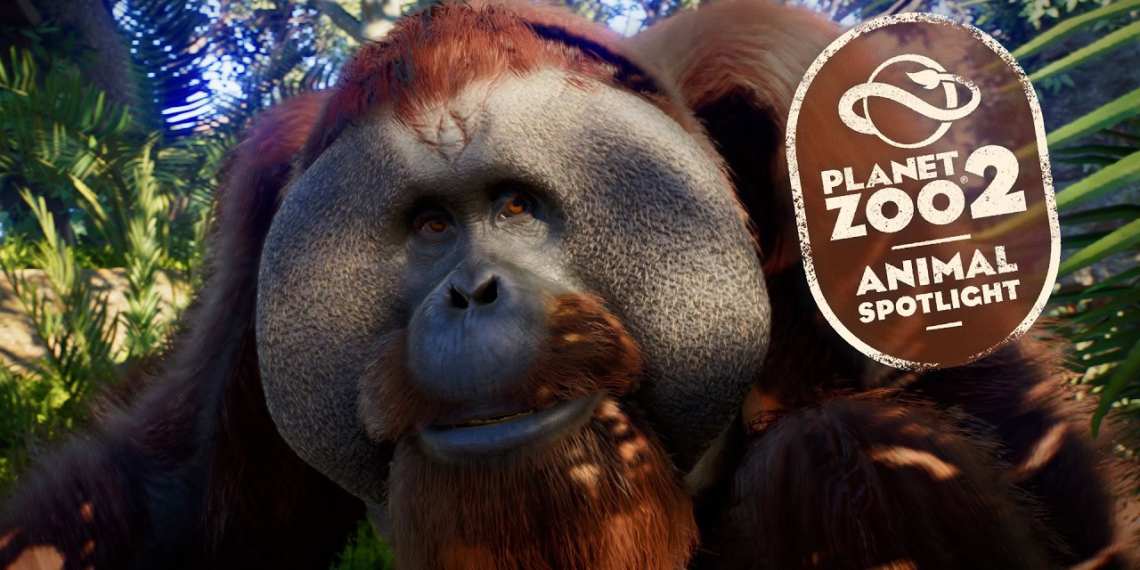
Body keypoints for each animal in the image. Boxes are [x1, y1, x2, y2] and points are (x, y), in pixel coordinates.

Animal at [1, 1, 1135, 569]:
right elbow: (178, 498)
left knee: (848, 453)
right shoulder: (261, 220)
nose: (471, 293)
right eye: (430, 226)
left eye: (514, 207)